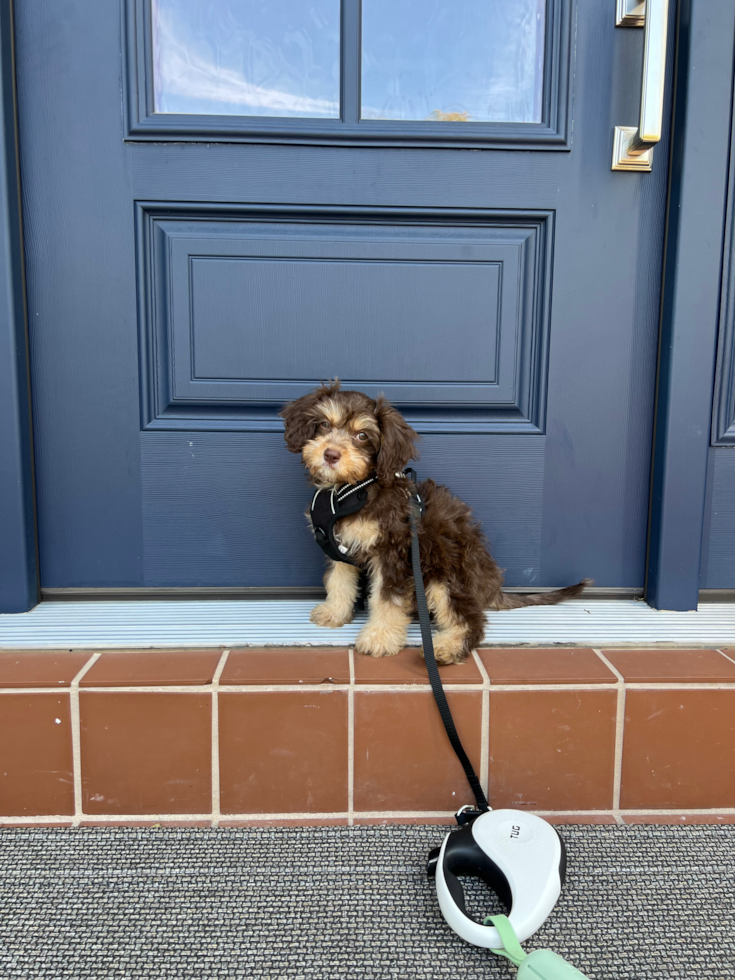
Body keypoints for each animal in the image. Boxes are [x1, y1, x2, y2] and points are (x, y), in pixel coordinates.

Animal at [278, 378, 588, 664]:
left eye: (363, 435)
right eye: (323, 425)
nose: (330, 454)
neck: (350, 491)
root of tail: (491, 587)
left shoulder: (394, 553)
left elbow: (386, 598)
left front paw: (379, 638)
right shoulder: (340, 547)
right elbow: (339, 581)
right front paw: (334, 612)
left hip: (443, 570)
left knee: (472, 621)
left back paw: (446, 647)